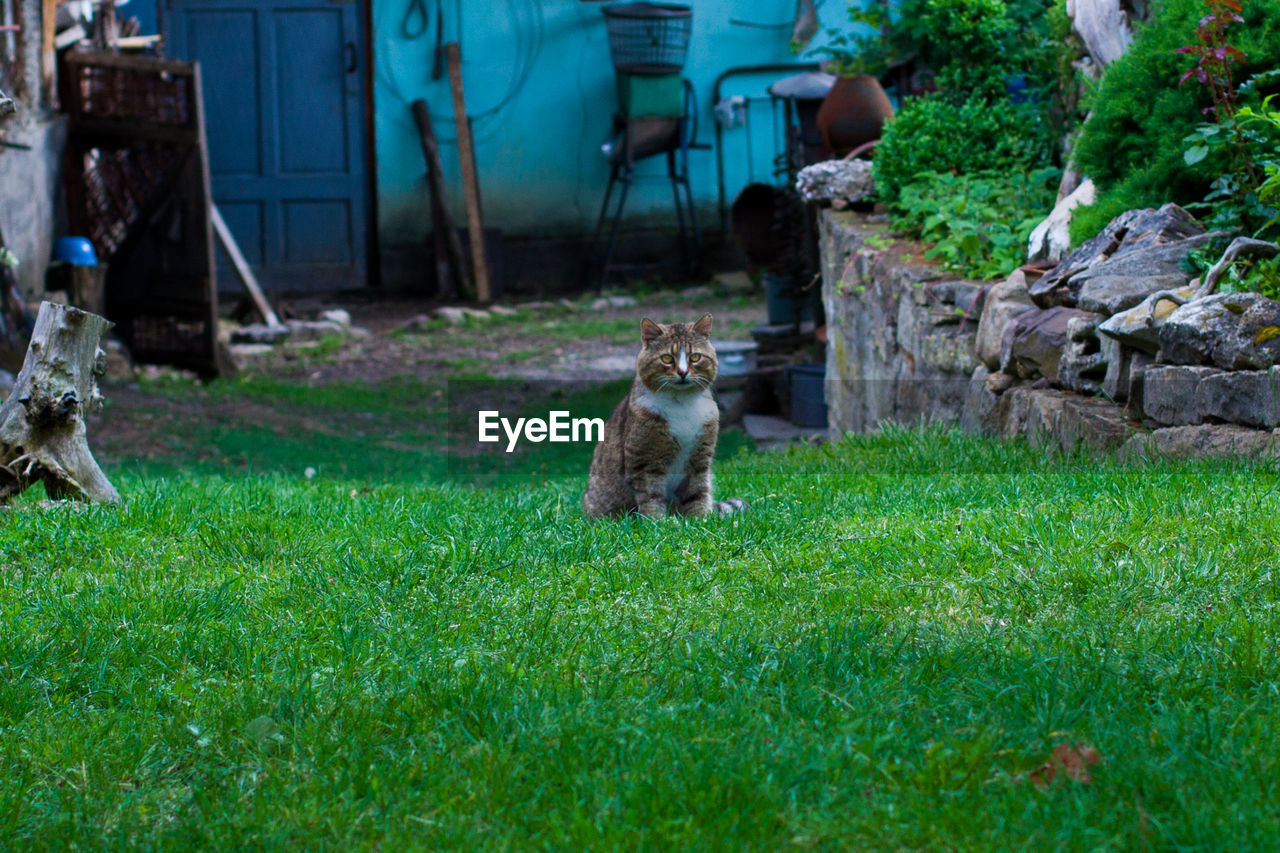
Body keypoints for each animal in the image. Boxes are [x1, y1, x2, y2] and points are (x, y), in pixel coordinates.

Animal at [583, 308, 747, 514]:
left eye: (695, 357)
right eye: (667, 358)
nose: (683, 373)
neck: (681, 404)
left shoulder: (700, 458)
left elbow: (699, 493)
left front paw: (701, 518)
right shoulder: (645, 462)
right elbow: (651, 497)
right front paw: (659, 520)